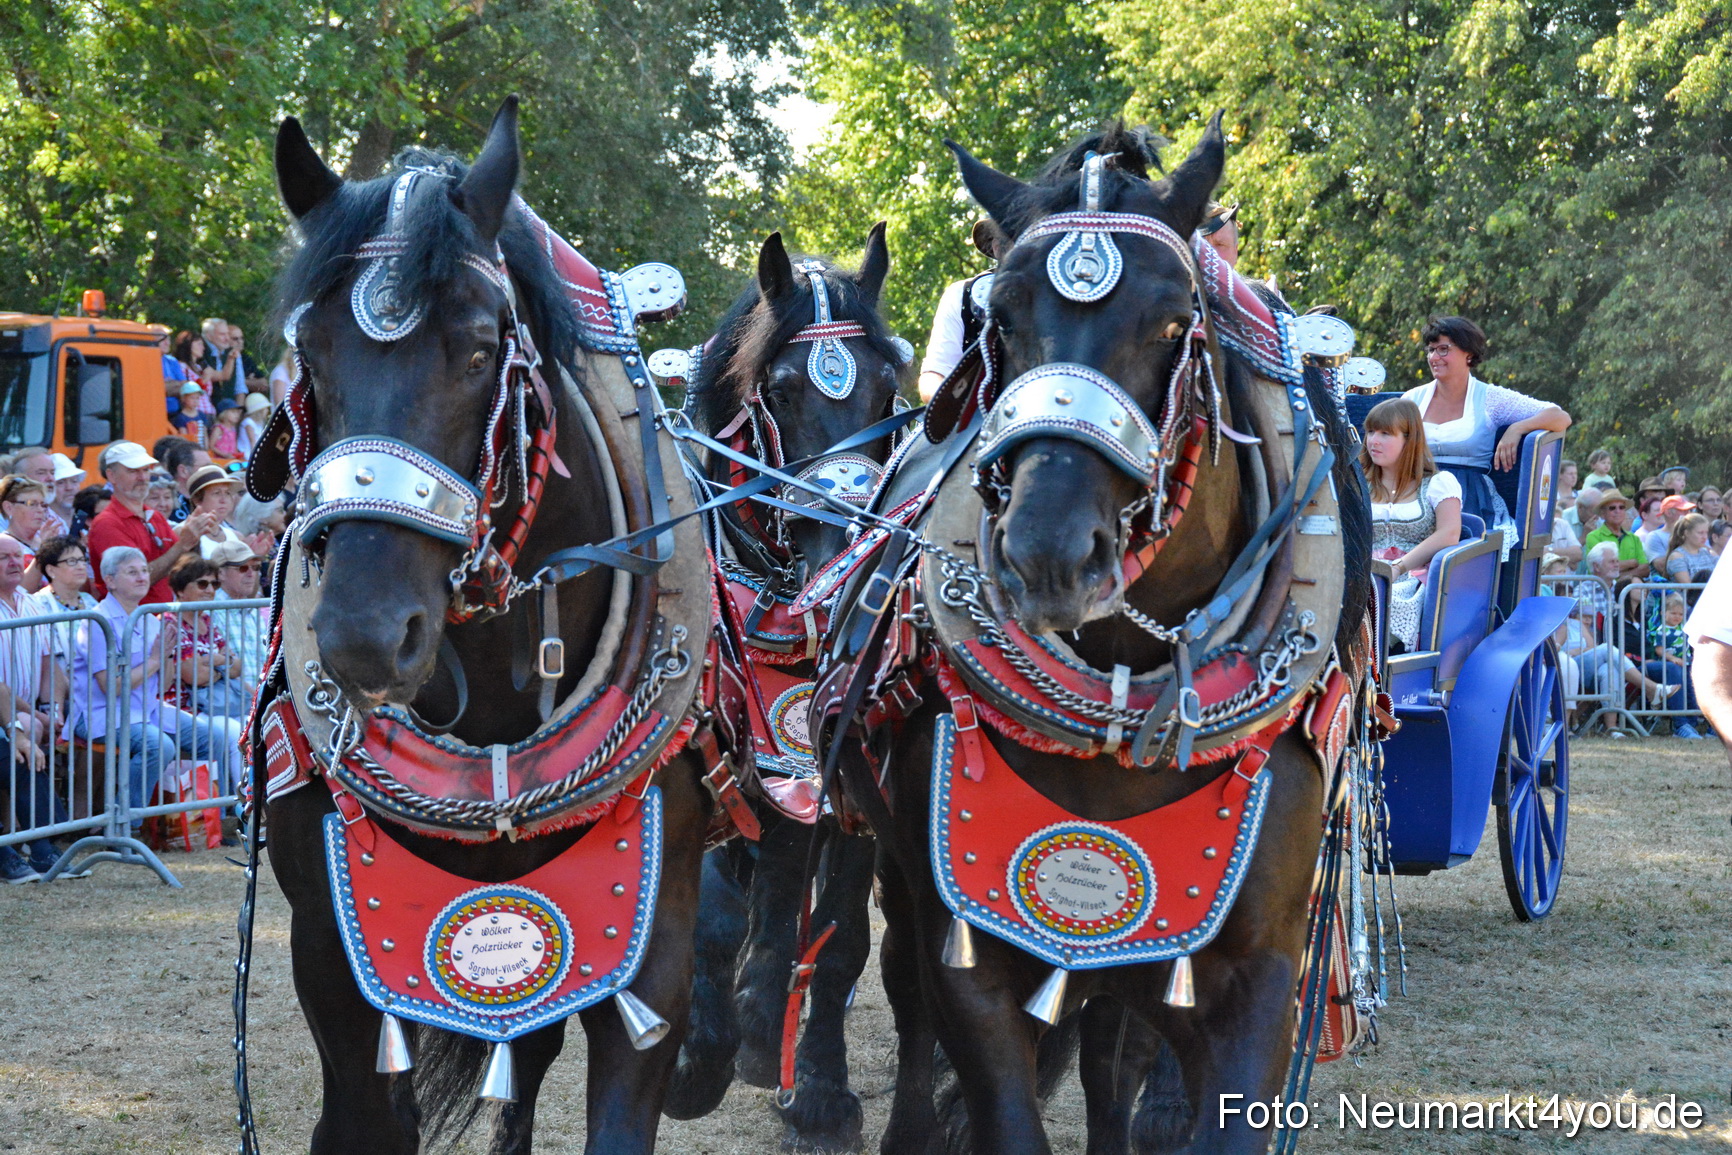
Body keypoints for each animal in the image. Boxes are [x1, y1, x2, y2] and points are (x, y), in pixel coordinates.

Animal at [252, 99, 719, 1154]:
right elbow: (363, 1114)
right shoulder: (329, 946)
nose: (364, 637)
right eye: (312, 357)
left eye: (473, 350)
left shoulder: (651, 931)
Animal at [661, 227, 910, 1153]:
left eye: (887, 386)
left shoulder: (846, 767)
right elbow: (715, 910)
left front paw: (819, 1089)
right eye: (781, 389)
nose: (848, 551)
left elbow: (835, 939)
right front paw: (699, 1054)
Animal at [811, 117, 1371, 1155]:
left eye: (1175, 320)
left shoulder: (1257, 973)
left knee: (1114, 1045)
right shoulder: (972, 948)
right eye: (999, 319)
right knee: (911, 995)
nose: (1048, 551)